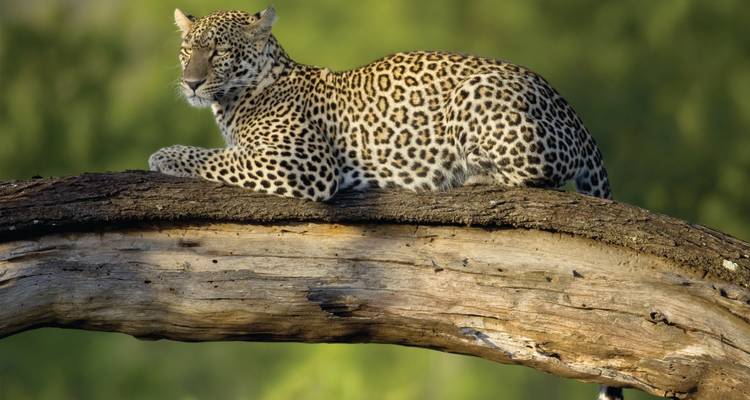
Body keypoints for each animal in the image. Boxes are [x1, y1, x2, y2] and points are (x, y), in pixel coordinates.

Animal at [149, 6, 613, 203]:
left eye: (219, 51)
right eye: (186, 50)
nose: (191, 83)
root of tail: (573, 112)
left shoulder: (303, 163)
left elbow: (217, 157)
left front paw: (164, 155)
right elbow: (226, 154)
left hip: (476, 92)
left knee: (539, 175)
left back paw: (470, 177)